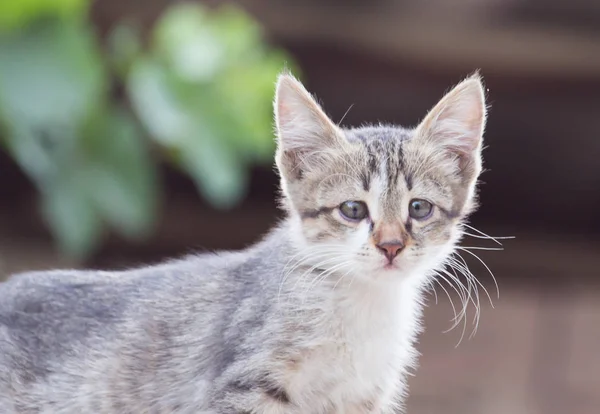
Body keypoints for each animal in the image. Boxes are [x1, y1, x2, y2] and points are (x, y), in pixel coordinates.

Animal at [0, 73, 488, 412]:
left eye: (419, 208)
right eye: (352, 209)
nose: (390, 246)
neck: (361, 306)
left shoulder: (362, 398)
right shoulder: (247, 383)